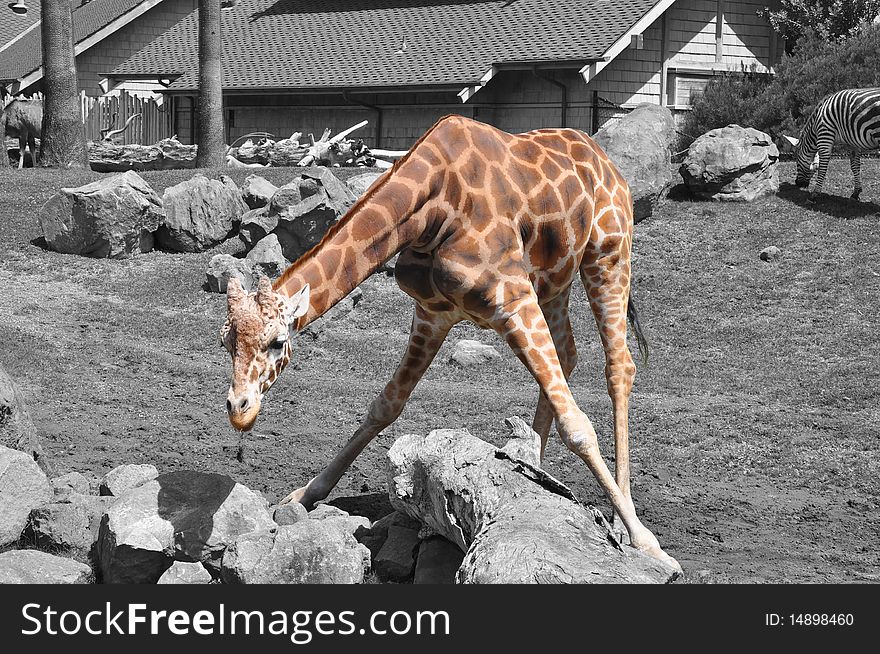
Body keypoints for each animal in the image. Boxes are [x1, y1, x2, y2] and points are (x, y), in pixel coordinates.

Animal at [222, 115, 680, 572]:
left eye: (277, 342)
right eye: (227, 342)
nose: (240, 411)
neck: (431, 206)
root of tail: (606, 161)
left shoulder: (512, 300)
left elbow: (578, 426)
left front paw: (647, 542)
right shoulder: (432, 312)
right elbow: (385, 405)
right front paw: (306, 494)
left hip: (608, 254)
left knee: (618, 366)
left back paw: (624, 514)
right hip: (554, 279)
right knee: (567, 354)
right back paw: (532, 463)